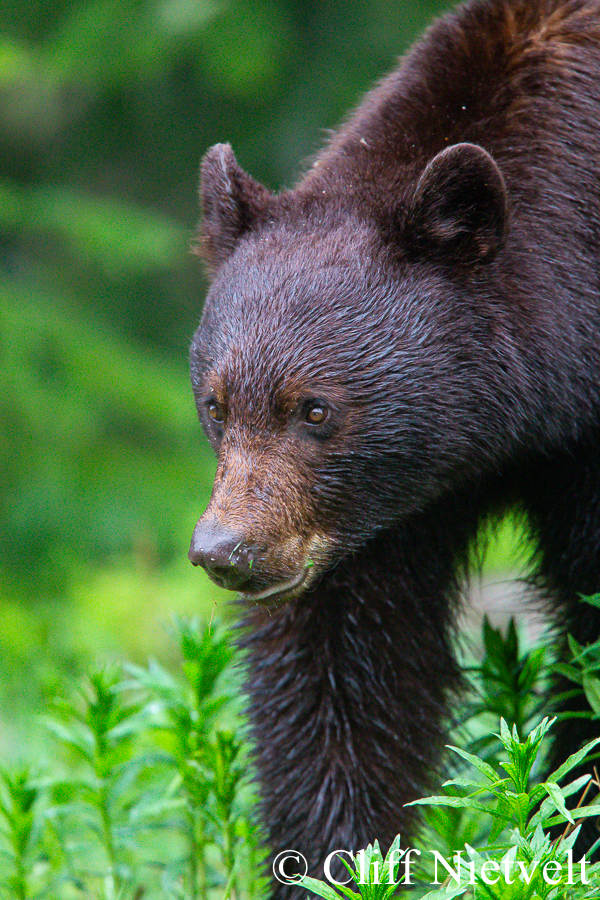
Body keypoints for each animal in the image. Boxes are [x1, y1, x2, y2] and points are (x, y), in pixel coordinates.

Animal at [188, 0, 600, 888]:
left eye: (315, 410)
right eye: (216, 403)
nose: (227, 550)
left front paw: (569, 829)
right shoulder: (369, 515)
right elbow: (344, 667)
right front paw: (337, 865)